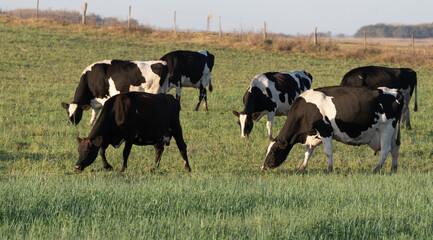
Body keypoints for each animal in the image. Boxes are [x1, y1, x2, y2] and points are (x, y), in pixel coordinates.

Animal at [262, 86, 404, 172]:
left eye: (273, 151)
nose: (264, 167)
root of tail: (395, 91)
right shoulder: (314, 135)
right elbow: (308, 152)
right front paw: (302, 167)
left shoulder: (325, 131)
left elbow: (328, 152)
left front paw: (329, 169)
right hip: (392, 131)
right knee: (395, 148)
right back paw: (393, 168)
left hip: (386, 128)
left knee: (386, 150)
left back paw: (377, 169)